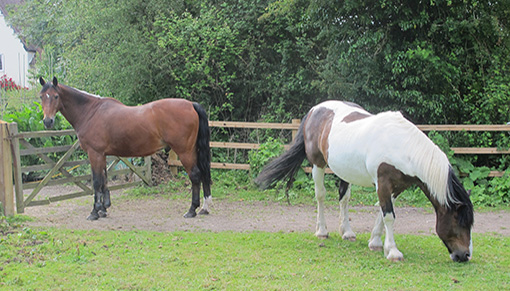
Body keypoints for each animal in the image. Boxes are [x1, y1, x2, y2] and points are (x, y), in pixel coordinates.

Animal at [36, 77, 210, 221]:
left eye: (56, 96)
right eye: (41, 96)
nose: (47, 121)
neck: (90, 112)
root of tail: (191, 104)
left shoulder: (95, 154)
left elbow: (96, 182)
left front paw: (94, 212)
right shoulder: (102, 155)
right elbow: (104, 180)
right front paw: (104, 209)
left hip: (184, 152)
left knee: (195, 175)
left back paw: (192, 210)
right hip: (192, 151)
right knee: (202, 174)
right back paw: (203, 208)